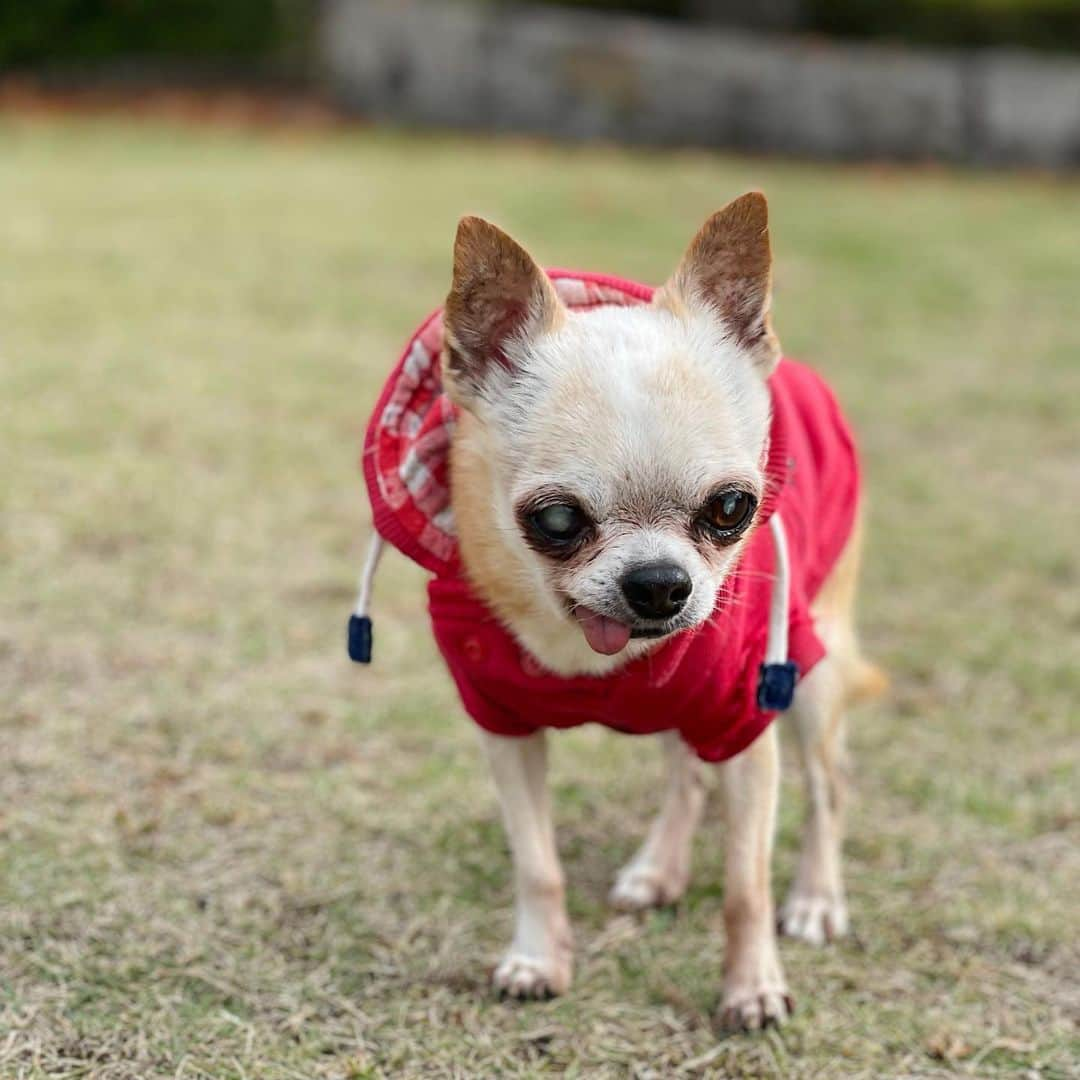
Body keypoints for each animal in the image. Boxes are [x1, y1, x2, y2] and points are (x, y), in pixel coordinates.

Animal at [358, 194, 881, 1028]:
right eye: (557, 521)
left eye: (733, 509)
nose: (661, 584)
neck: (586, 652)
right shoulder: (505, 730)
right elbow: (537, 865)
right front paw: (539, 960)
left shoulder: (746, 726)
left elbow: (745, 887)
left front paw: (752, 987)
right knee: (686, 775)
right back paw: (658, 869)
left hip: (811, 665)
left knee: (830, 784)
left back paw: (816, 899)